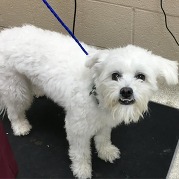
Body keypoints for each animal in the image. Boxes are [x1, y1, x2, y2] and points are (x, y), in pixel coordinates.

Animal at [0, 24, 178, 178]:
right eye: (115, 75)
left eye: (141, 76)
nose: (126, 91)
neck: (97, 94)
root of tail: (5, 34)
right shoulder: (77, 128)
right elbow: (81, 152)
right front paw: (82, 169)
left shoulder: (105, 123)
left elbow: (103, 138)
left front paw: (106, 151)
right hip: (15, 88)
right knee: (13, 110)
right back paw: (20, 126)